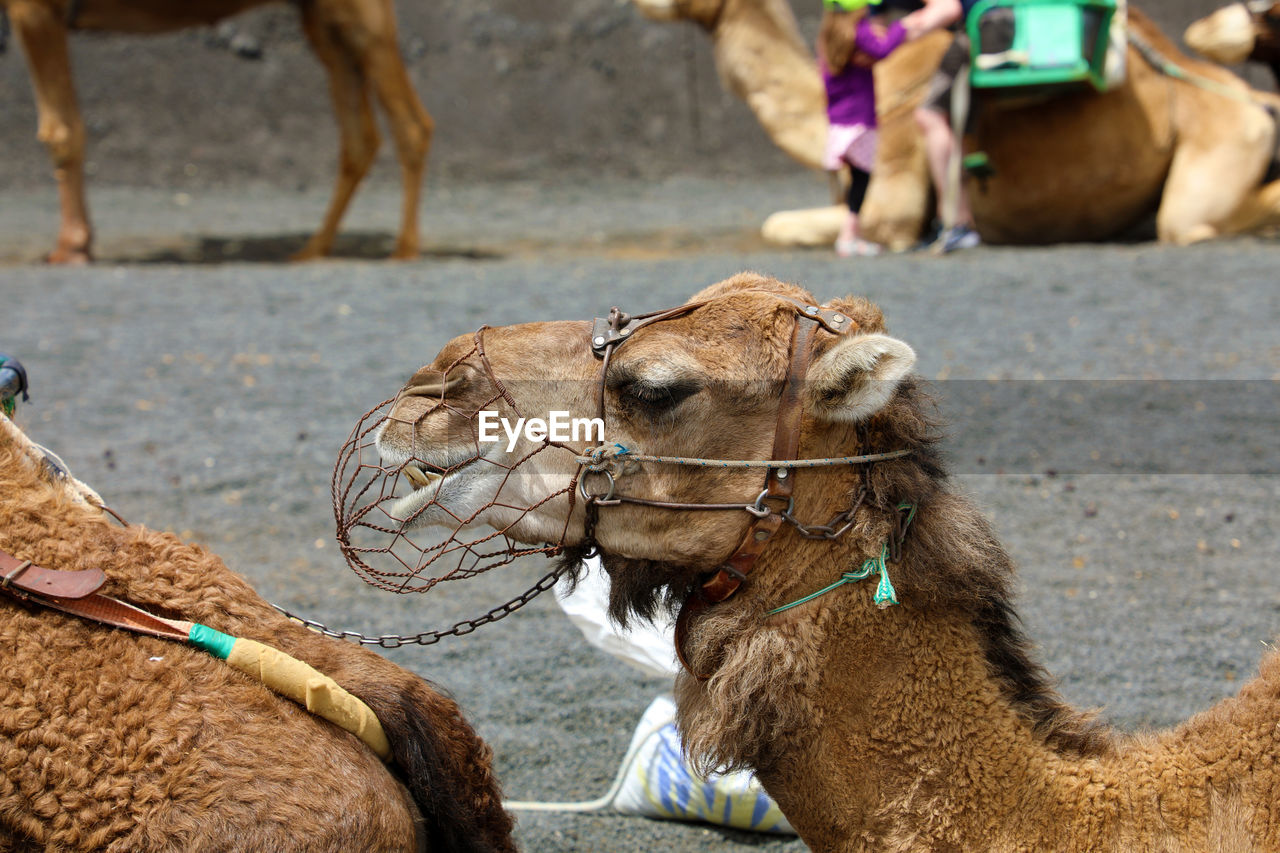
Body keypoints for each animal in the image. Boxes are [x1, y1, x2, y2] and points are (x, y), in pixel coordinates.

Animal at [1, 0, 435, 262]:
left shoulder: (35, 9)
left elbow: (61, 130)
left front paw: (71, 248)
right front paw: (80, 243)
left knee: (411, 124)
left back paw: (403, 250)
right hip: (320, 19)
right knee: (361, 137)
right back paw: (313, 248)